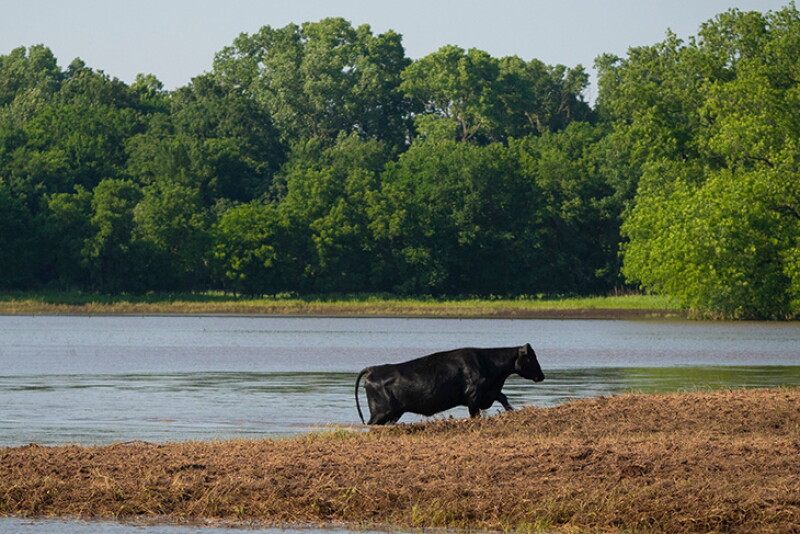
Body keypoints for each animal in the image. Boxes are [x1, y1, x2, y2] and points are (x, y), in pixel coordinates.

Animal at [354, 343, 544, 425]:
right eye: (532, 357)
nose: (542, 376)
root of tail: (374, 369)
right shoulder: (474, 396)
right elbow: (475, 414)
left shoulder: (489, 392)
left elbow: (503, 398)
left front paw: (512, 411)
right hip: (381, 412)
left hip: (394, 413)